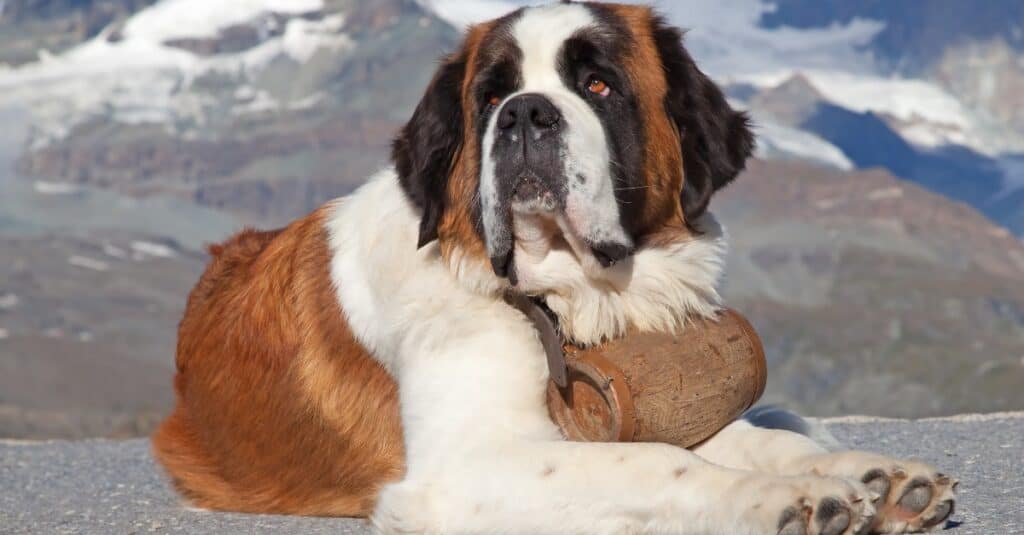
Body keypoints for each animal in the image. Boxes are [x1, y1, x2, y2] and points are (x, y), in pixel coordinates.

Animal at [153, 2, 958, 528]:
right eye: (490, 97)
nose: (525, 113)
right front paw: (776, 500)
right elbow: (657, 461)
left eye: (598, 84)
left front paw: (871, 476)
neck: (559, 296)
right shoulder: (465, 468)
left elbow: (750, 439)